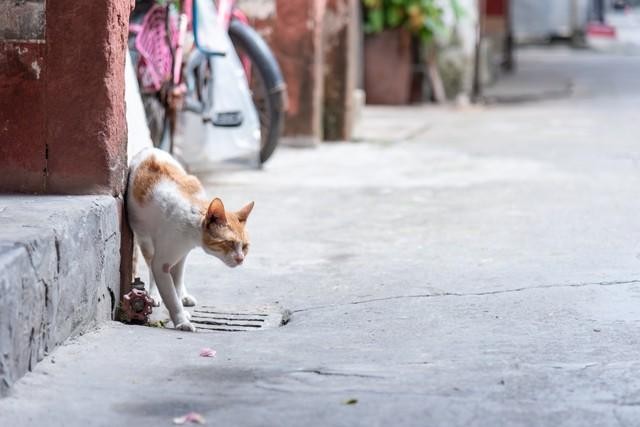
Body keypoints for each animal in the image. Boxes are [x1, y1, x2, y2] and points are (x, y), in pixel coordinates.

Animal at [126, 147, 254, 332]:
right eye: (229, 243)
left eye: (245, 246)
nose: (240, 259)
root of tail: (150, 149)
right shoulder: (162, 263)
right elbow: (170, 294)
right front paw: (181, 320)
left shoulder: (181, 257)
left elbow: (177, 285)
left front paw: (181, 304)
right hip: (145, 240)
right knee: (150, 264)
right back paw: (154, 294)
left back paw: (184, 296)